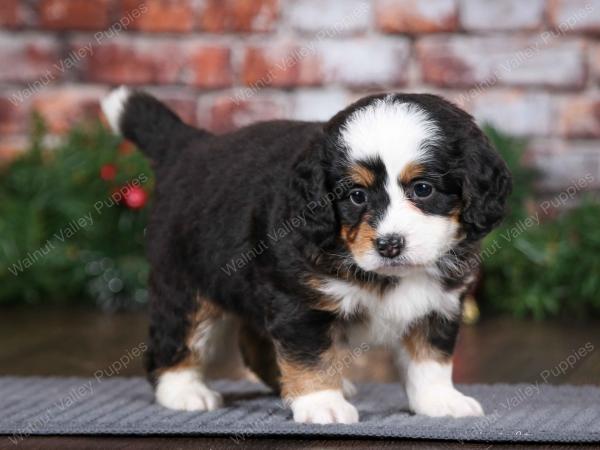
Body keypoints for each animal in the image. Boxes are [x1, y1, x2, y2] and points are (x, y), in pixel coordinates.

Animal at [99, 89, 510, 426]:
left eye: (423, 189)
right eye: (356, 195)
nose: (390, 245)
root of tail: (189, 145)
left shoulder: (438, 303)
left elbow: (431, 358)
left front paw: (439, 401)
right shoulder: (300, 299)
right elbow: (310, 355)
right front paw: (321, 402)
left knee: (255, 344)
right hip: (184, 283)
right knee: (177, 337)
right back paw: (184, 391)